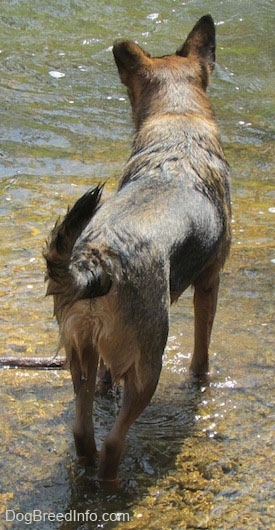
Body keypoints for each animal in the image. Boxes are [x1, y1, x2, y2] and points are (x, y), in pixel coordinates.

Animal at [44, 14, 232, 480]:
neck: (178, 122)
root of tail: (96, 261)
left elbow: (106, 382)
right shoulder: (210, 281)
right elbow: (202, 350)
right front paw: (201, 380)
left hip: (79, 354)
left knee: (83, 430)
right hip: (149, 364)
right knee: (113, 441)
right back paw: (113, 479)